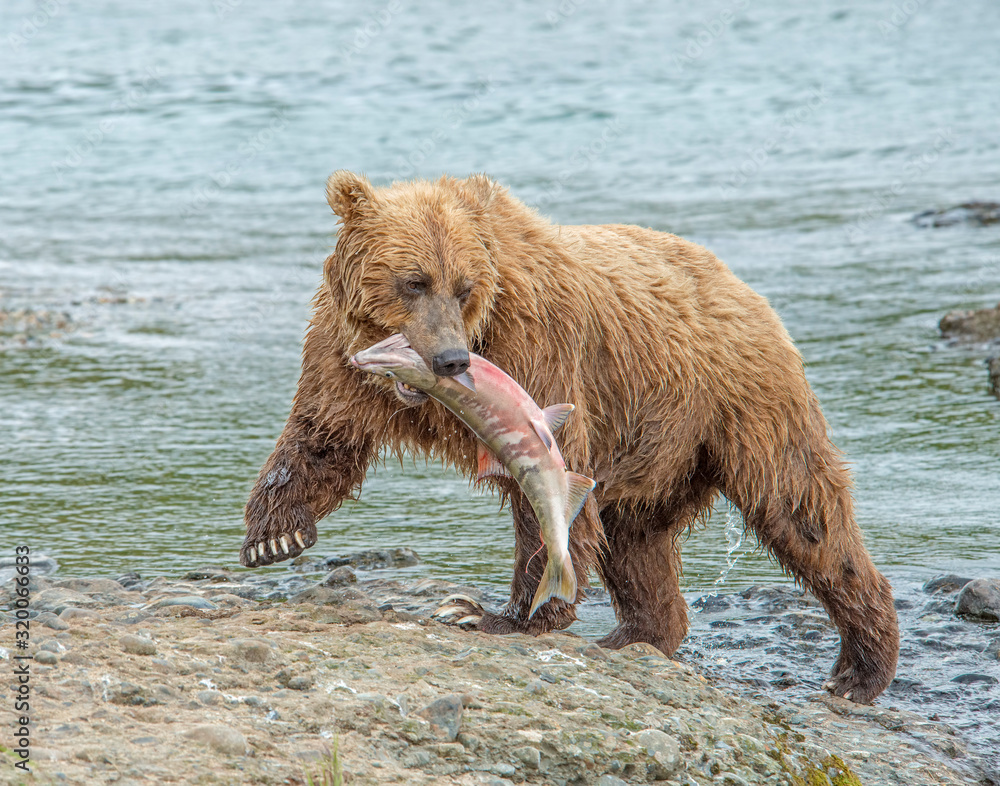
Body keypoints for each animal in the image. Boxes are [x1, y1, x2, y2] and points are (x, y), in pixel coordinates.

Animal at [241, 171, 900, 703]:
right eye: (413, 280)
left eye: (463, 285)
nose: (451, 360)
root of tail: (739, 283)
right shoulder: (339, 359)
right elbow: (323, 437)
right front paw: (274, 537)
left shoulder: (538, 349)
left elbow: (544, 494)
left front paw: (501, 615)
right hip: (656, 446)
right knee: (635, 541)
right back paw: (634, 634)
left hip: (739, 402)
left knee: (802, 509)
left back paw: (858, 669)